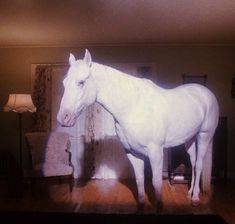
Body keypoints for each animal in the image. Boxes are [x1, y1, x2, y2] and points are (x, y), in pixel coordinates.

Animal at [57, 49, 218, 208]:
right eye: (64, 83)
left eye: (81, 82)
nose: (63, 118)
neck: (134, 107)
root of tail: (206, 93)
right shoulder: (133, 153)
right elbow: (140, 179)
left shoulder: (156, 153)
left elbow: (156, 183)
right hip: (189, 139)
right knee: (193, 162)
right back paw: (190, 193)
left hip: (204, 136)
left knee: (199, 165)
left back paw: (195, 198)